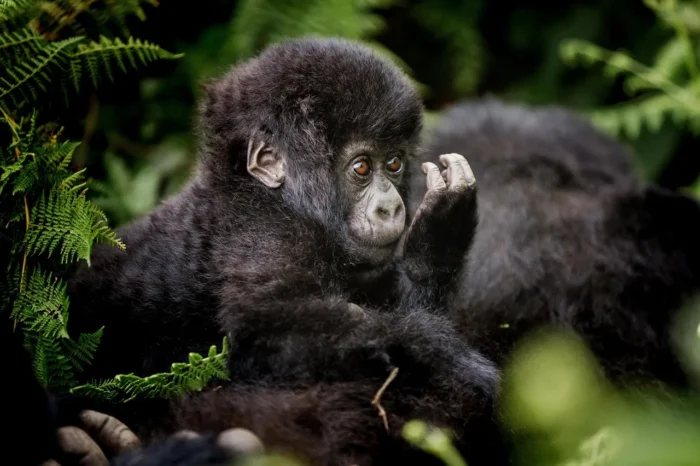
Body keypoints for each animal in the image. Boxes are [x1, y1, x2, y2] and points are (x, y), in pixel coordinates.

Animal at [47, 38, 505, 466]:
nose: (391, 207)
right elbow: (270, 329)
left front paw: (437, 242)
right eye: (361, 167)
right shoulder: (265, 234)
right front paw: (443, 358)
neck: (263, 193)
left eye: (393, 164)